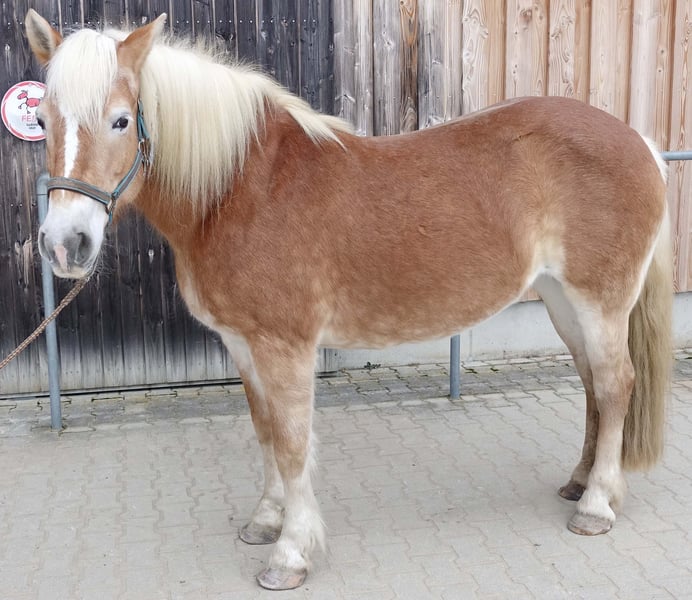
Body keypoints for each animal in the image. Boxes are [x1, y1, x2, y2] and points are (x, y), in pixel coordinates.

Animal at [24, 10, 672, 590]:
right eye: (43, 118)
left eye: (120, 120)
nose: (64, 244)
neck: (242, 187)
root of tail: (638, 140)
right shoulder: (243, 344)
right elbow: (265, 430)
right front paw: (266, 521)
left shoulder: (284, 347)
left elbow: (293, 444)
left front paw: (290, 554)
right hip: (563, 302)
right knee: (592, 386)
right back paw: (580, 483)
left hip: (600, 302)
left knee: (616, 385)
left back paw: (595, 507)